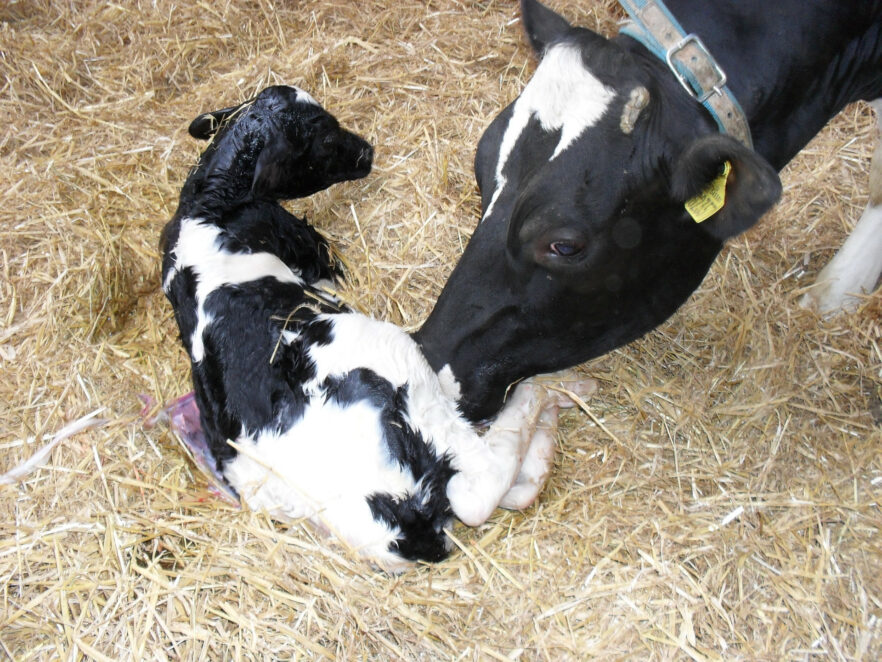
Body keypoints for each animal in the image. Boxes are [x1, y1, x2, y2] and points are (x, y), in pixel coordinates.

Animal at [160, 84, 592, 572]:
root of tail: (395, 527)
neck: (209, 203)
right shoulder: (312, 254)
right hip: (397, 361)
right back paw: (552, 389)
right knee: (478, 489)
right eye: (326, 137)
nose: (367, 151)